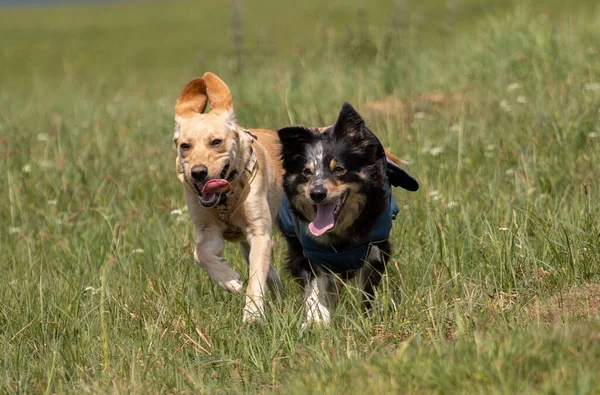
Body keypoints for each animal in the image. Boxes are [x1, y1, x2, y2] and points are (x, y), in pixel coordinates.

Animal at [173, 72, 284, 324]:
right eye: (185, 146)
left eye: (216, 142)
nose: (198, 172)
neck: (225, 196)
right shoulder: (209, 232)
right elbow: (200, 253)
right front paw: (228, 280)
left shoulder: (258, 231)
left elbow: (256, 276)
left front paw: (252, 314)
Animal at [276, 102, 418, 328]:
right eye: (307, 172)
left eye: (339, 169)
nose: (317, 193)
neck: (339, 234)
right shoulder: (306, 253)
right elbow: (315, 288)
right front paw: (317, 320)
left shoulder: (375, 251)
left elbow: (366, 291)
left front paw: (365, 317)